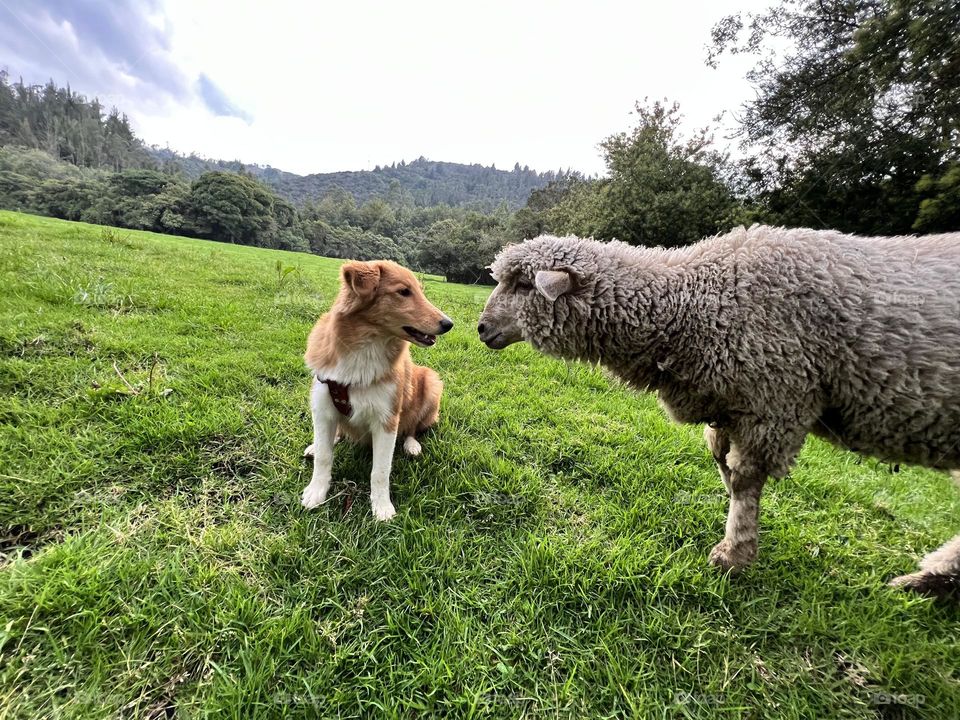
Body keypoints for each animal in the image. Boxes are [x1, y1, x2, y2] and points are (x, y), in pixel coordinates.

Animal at [302, 262, 452, 520]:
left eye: (420, 291)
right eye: (404, 292)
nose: (448, 323)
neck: (366, 347)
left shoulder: (387, 419)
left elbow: (380, 470)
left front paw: (381, 507)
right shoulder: (322, 409)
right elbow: (324, 456)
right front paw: (317, 491)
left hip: (431, 382)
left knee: (413, 427)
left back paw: (412, 445)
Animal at [476, 226, 956, 596]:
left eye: (523, 285)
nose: (481, 328)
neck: (692, 301)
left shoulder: (774, 402)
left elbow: (743, 479)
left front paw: (734, 552)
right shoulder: (731, 404)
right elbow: (721, 461)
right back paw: (926, 580)